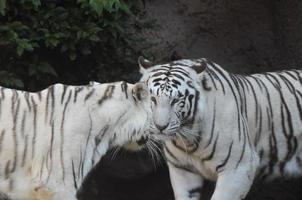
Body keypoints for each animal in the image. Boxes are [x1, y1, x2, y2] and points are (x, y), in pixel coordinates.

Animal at [139, 56, 302, 200]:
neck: (189, 140)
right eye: (152, 98)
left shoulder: (238, 167)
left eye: (176, 100)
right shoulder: (182, 170)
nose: (160, 126)